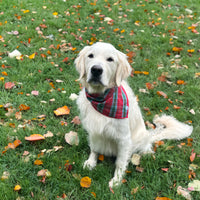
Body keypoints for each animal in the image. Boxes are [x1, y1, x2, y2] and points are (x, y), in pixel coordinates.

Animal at [74, 41, 193, 188]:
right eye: (90, 56)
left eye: (110, 59)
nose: (96, 70)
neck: (101, 98)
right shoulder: (93, 130)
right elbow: (94, 149)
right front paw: (91, 162)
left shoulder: (123, 138)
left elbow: (120, 162)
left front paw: (116, 180)